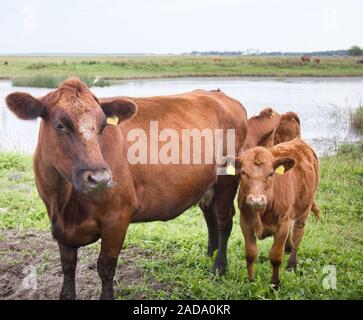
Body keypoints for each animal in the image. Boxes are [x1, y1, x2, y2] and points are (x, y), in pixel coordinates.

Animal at [5, 77, 247, 300]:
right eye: (59, 125)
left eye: (103, 126)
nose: (100, 178)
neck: (64, 202)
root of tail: (220, 95)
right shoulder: (60, 229)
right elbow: (67, 266)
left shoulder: (117, 218)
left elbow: (105, 266)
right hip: (207, 185)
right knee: (210, 216)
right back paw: (209, 254)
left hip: (228, 178)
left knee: (224, 221)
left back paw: (219, 266)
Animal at [228, 138, 322, 288]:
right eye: (243, 172)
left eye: (271, 173)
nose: (257, 200)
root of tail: (298, 141)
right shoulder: (245, 222)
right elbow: (251, 253)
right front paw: (251, 281)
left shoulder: (282, 224)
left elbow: (275, 256)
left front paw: (275, 284)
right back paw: (288, 247)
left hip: (305, 207)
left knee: (298, 233)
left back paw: (292, 264)